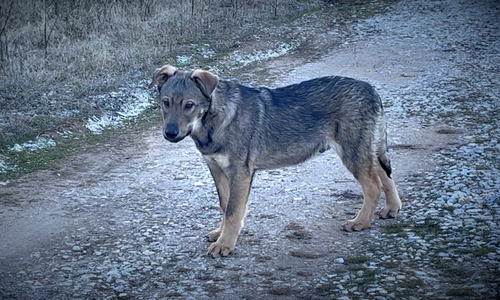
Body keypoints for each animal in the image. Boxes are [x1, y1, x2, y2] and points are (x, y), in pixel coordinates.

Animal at [148, 65, 402, 258]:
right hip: (366, 152)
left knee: (373, 186)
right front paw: (221, 234)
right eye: (166, 103)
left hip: (352, 154)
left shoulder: (240, 172)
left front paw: (225, 244)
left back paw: (361, 222)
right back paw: (391, 209)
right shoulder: (217, 170)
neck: (213, 122)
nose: (170, 133)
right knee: (385, 176)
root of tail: (369, 88)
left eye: (189, 105)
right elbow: (224, 206)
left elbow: (232, 211)